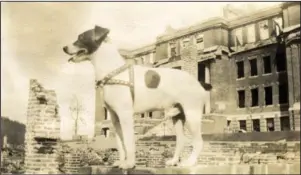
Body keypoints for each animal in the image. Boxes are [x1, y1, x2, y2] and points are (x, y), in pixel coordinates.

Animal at [61, 25, 211, 170]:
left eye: (81, 37)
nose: (64, 48)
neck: (114, 72)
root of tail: (198, 83)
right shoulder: (115, 118)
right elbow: (120, 143)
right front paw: (121, 162)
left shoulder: (125, 115)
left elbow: (128, 141)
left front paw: (129, 164)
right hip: (178, 116)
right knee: (181, 140)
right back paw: (174, 161)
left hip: (192, 114)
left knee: (198, 141)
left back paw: (190, 162)